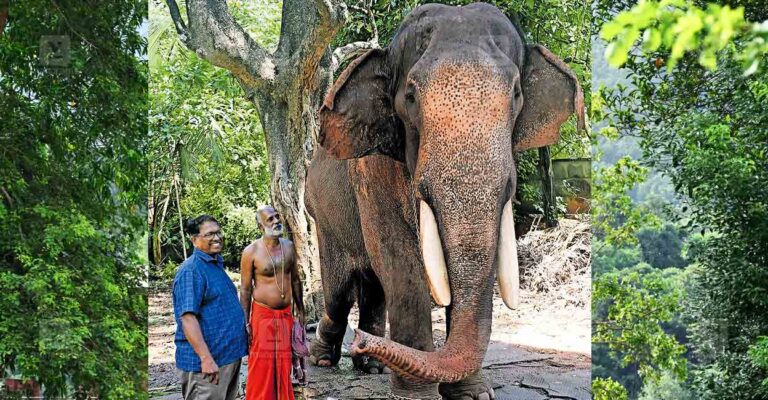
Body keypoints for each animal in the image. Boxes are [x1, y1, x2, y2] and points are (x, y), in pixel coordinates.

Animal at [305, 3, 584, 399]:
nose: (357, 342)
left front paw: (473, 394)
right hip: (323, 217)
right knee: (340, 291)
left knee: (372, 285)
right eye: (410, 97)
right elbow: (398, 256)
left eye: (516, 94)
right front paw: (416, 395)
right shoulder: (371, 171)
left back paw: (371, 364)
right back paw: (325, 358)